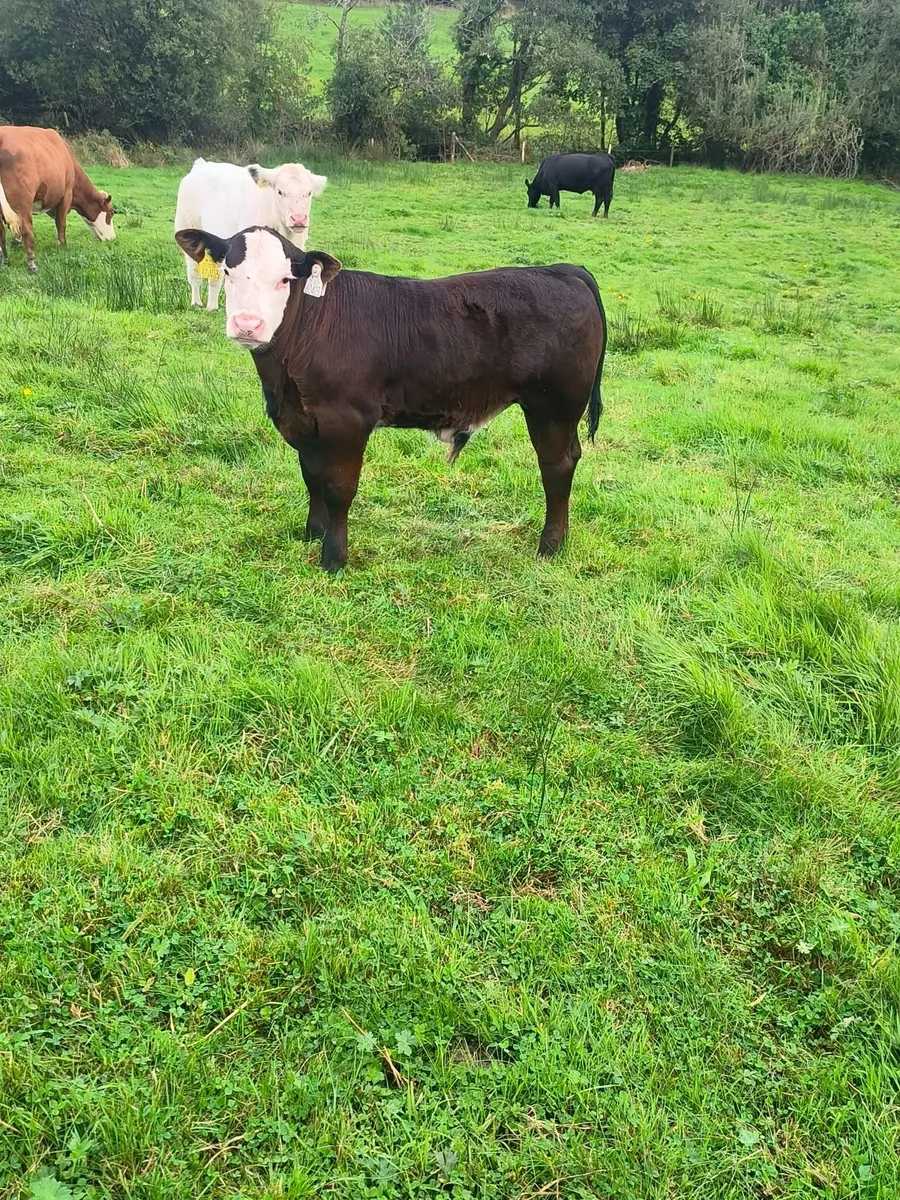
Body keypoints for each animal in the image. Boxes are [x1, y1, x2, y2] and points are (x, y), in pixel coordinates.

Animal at [0, 125, 115, 272]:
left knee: (1, 233)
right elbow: (61, 223)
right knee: (27, 230)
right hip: (23, 202)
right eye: (111, 212)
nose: (112, 238)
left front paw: (16, 242)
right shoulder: (66, 194)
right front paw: (63, 245)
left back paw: (5, 260)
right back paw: (32, 265)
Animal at [174, 157, 327, 312]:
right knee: (197, 274)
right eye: (280, 192)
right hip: (189, 230)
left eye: (308, 193)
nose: (299, 218)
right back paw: (200, 304)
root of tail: (201, 165)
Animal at [175, 225, 607, 573]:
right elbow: (311, 476)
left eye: (284, 280)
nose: (247, 324)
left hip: (553, 407)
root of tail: (561, 270)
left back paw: (550, 546)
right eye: (227, 273)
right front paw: (313, 532)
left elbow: (338, 486)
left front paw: (334, 557)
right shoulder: (303, 419)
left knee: (557, 466)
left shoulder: (346, 419)